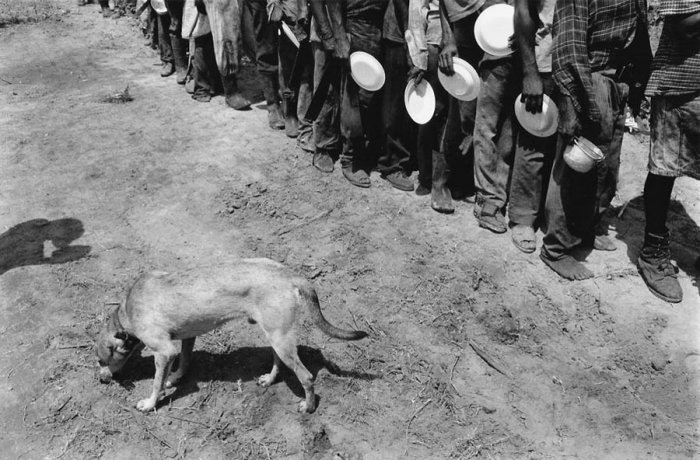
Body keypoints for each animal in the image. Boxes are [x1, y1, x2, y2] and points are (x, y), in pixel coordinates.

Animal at [96, 258, 370, 414]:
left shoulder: (164, 351)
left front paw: (151, 403)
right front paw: (174, 377)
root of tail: (290, 275)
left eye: (100, 361)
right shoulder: (187, 338)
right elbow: (184, 361)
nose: (100, 380)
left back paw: (308, 406)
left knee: (307, 377)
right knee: (278, 361)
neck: (127, 311)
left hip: (280, 339)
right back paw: (269, 379)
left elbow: (155, 382)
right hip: (275, 335)